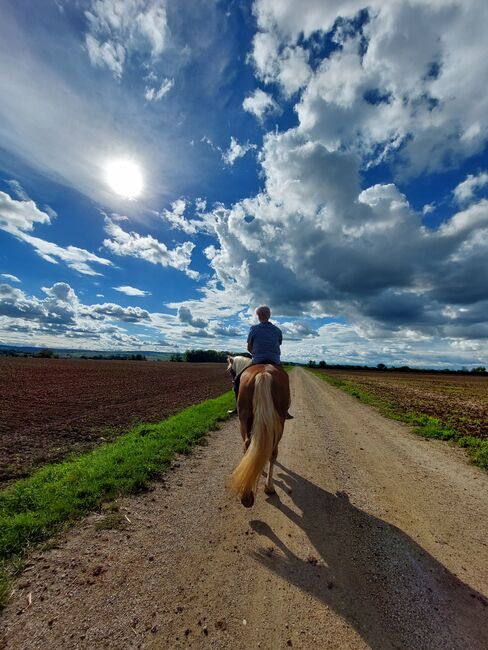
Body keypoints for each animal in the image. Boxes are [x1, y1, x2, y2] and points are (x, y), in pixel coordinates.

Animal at [228, 356, 292, 508]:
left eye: (231, 371)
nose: (233, 382)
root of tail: (263, 374)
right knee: (271, 452)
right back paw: (268, 487)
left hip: (244, 421)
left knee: (249, 446)